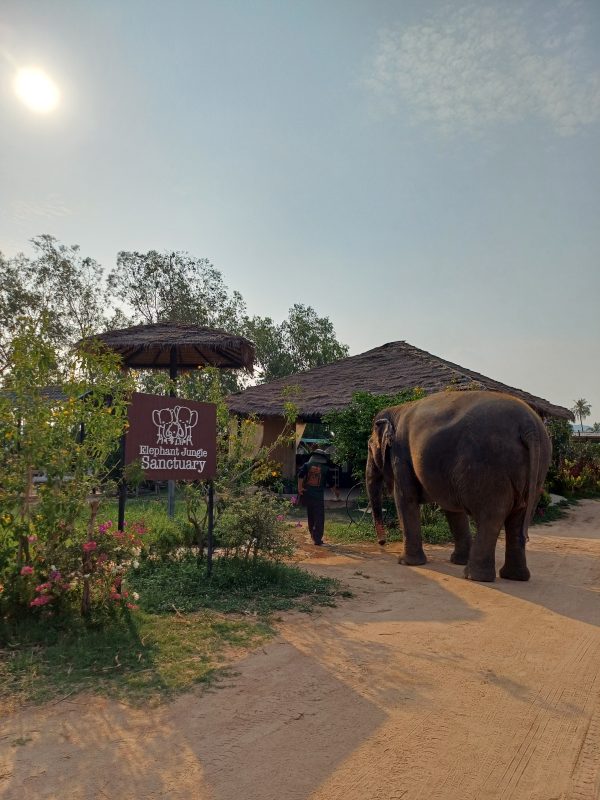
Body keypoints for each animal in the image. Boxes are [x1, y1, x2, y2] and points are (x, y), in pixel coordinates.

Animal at [366, 390, 552, 582]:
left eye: (369, 446)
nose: (382, 542)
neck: (397, 409)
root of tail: (529, 426)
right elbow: (452, 509)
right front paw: (457, 561)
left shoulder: (400, 456)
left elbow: (405, 499)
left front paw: (406, 563)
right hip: (538, 470)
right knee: (519, 517)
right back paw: (514, 576)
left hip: (489, 467)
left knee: (491, 516)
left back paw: (474, 576)